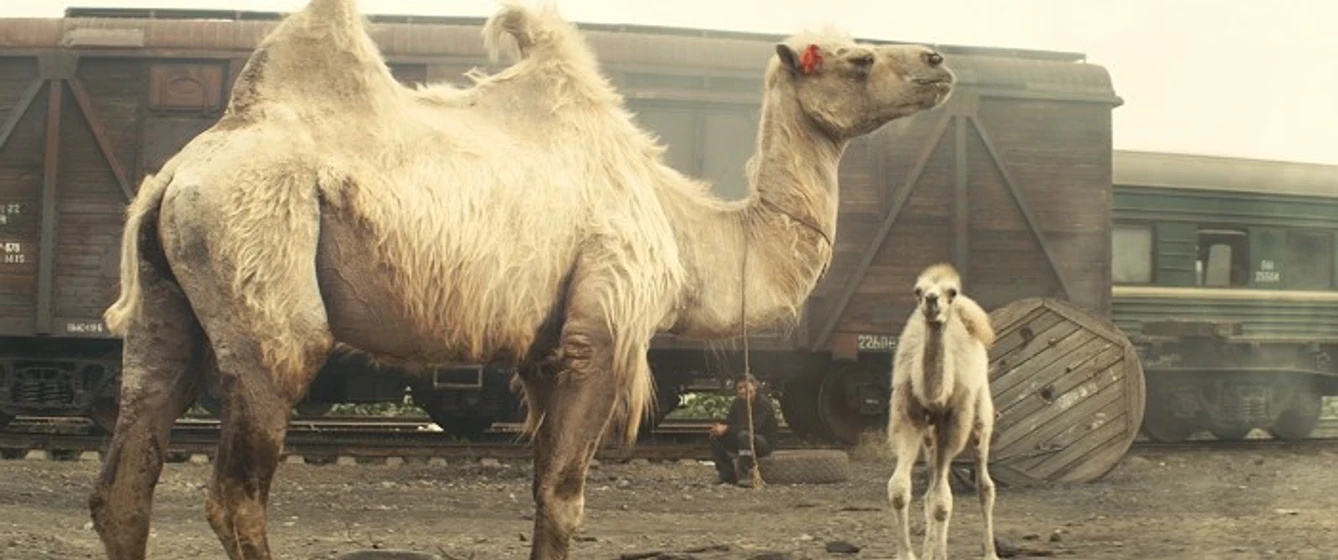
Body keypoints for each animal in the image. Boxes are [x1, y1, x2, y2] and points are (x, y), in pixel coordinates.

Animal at [86, 0, 955, 557]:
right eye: (858, 59)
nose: (939, 60)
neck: (688, 231)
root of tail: (177, 175)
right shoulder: (600, 332)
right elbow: (564, 501)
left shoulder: (541, 353)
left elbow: (541, 492)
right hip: (263, 280)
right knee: (237, 491)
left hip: (167, 307)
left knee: (125, 481)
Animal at [886, 264, 998, 560]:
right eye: (918, 290)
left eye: (952, 291)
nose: (931, 300)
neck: (936, 395)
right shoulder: (908, 415)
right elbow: (900, 490)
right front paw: (908, 554)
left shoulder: (955, 421)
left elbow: (942, 502)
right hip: (929, 435)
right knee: (930, 490)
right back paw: (930, 552)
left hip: (980, 418)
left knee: (984, 487)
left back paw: (990, 553)